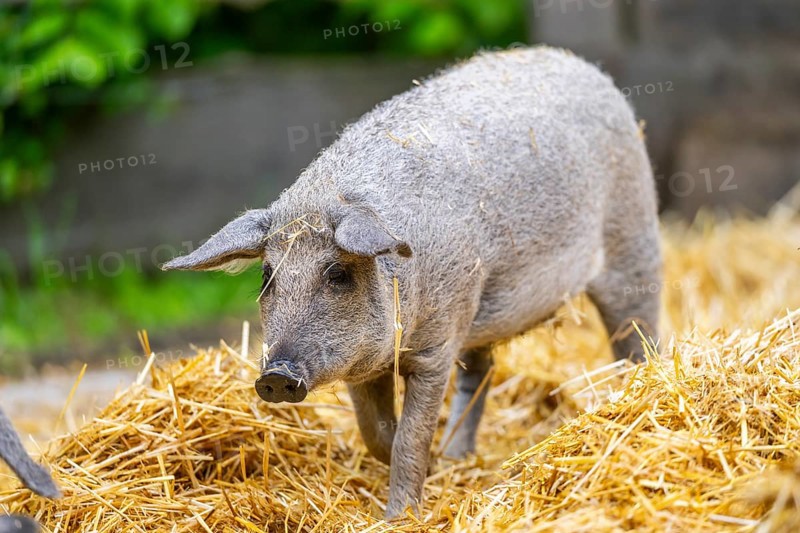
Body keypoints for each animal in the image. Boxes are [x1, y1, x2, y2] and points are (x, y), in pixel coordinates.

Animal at [162, 46, 661, 518]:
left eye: (337, 273)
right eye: (268, 275)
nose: (276, 375)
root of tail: (584, 67)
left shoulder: (436, 347)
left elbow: (410, 437)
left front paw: (400, 515)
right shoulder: (365, 364)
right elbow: (376, 432)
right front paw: (430, 468)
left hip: (632, 238)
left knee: (638, 334)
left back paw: (642, 385)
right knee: (481, 372)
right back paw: (457, 457)